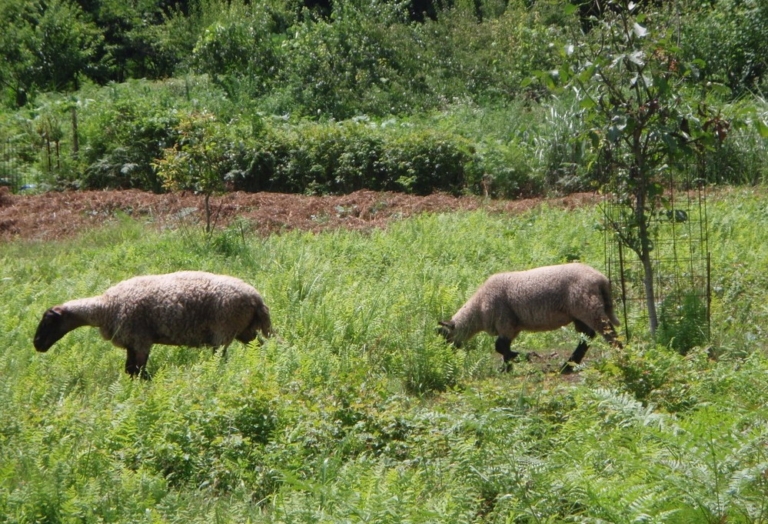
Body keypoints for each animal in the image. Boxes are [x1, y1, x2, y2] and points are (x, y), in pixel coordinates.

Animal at [33, 272, 272, 378]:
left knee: (221, 360)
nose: (37, 344)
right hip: (245, 331)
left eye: (48, 322)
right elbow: (130, 371)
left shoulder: (140, 341)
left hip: (223, 331)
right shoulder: (132, 343)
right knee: (259, 348)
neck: (104, 308)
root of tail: (256, 298)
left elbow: (137, 371)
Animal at [440, 264, 620, 374]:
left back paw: (619, 356)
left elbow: (500, 346)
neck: (478, 309)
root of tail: (602, 279)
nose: (446, 355)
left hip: (588, 307)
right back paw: (568, 365)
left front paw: (520, 357)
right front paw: (507, 367)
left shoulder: (504, 322)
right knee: (587, 336)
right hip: (580, 313)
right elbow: (503, 347)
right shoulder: (513, 326)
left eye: (445, 337)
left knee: (608, 333)